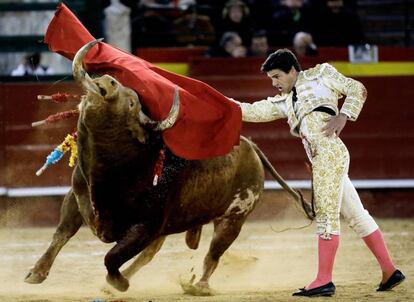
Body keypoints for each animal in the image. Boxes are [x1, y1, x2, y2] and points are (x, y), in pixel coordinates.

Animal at [24, 39, 312, 294]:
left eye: (132, 102)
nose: (106, 81)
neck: (109, 169)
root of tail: (251, 145)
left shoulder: (146, 226)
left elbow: (111, 257)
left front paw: (119, 283)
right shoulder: (76, 198)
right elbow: (62, 233)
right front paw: (36, 273)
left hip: (235, 217)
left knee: (213, 253)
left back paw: (199, 286)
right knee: (152, 254)